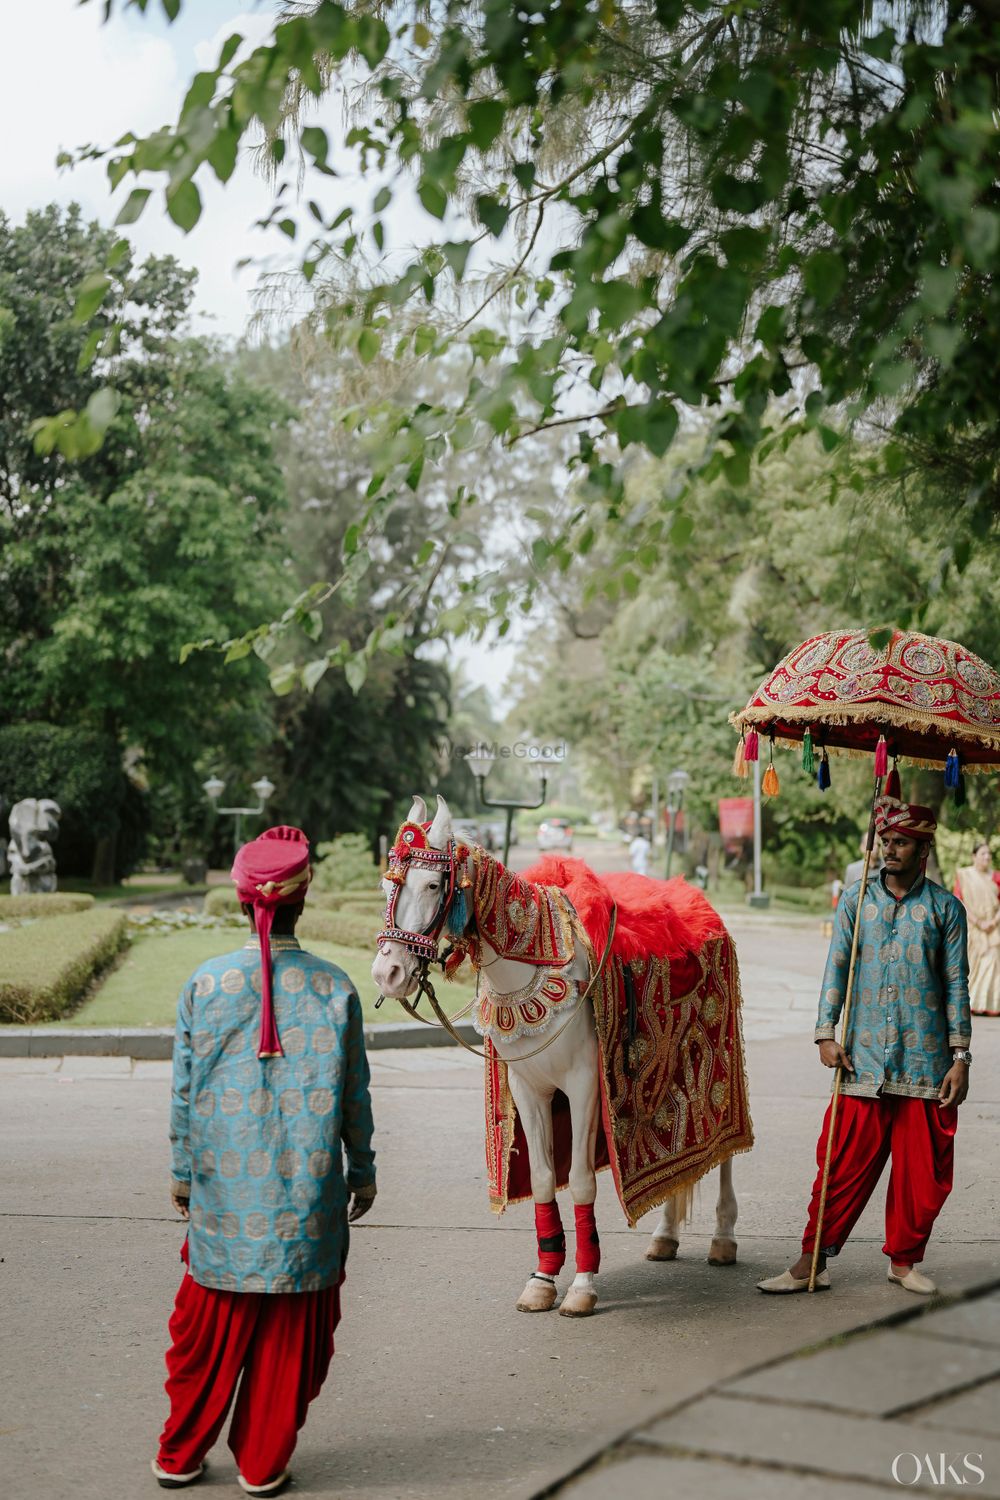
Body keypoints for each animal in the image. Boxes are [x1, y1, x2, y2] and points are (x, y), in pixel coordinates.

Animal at [371, 792, 755, 1320]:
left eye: (432, 884)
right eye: (387, 884)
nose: (386, 973)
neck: (533, 965)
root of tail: (698, 903)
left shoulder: (584, 1086)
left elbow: (580, 1181)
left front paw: (582, 1285)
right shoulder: (528, 1090)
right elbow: (543, 1179)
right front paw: (543, 1279)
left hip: (719, 1060)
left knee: (723, 1153)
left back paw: (723, 1236)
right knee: (684, 1151)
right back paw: (665, 1235)